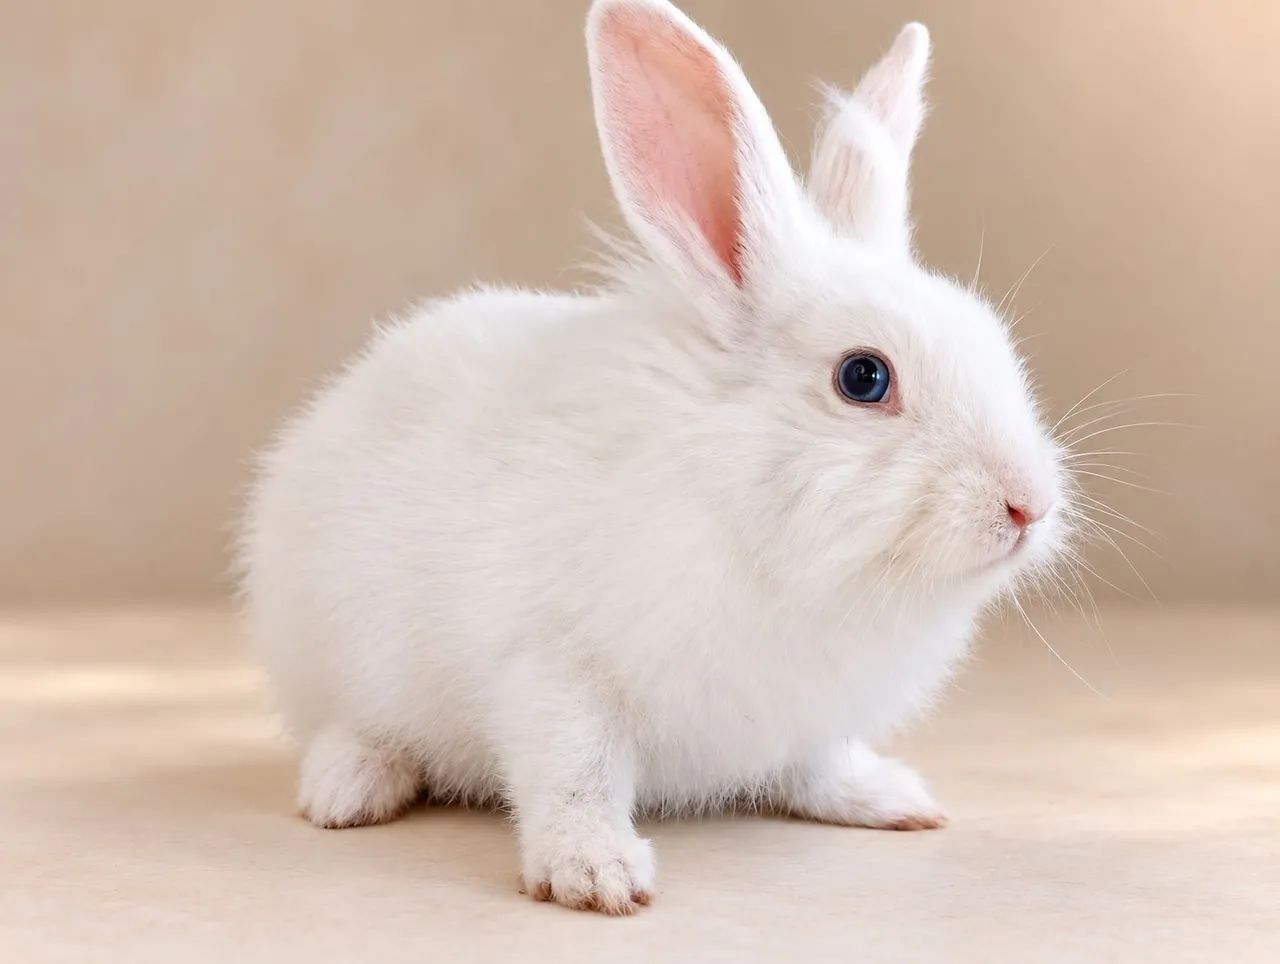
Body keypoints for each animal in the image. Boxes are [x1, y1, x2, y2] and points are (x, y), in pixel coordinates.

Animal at [239, 0, 1069, 915]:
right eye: (864, 377)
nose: (1029, 504)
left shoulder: (809, 717)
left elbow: (818, 765)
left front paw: (890, 800)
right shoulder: (555, 671)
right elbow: (574, 775)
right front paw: (595, 874)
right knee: (347, 727)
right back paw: (348, 789)